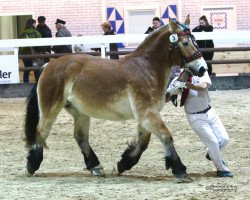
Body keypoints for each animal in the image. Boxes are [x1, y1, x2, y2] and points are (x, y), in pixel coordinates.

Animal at [23, 16, 207, 180]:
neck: (146, 68)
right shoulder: (147, 113)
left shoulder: (146, 115)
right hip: (50, 109)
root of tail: (48, 65)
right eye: (185, 43)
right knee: (42, 132)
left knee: (80, 137)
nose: (202, 69)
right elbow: (165, 136)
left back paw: (95, 166)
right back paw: (32, 165)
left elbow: (143, 142)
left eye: (195, 41)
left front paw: (123, 164)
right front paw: (180, 170)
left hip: (80, 112)